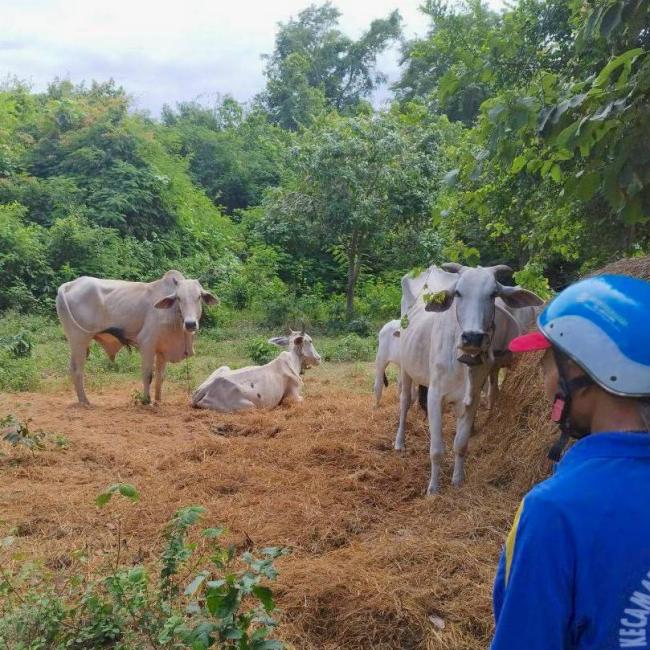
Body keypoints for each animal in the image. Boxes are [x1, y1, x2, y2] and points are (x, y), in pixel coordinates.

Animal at [56, 270, 218, 405]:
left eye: (199, 297)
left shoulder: (162, 351)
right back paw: (84, 401)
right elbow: (148, 375)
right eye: (178, 298)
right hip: (79, 339)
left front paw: (158, 400)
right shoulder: (147, 344)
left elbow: (160, 377)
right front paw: (146, 400)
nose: (190, 324)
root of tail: (69, 285)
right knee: (77, 369)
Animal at [191, 330, 321, 412]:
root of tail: (203, 390)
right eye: (310, 341)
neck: (293, 361)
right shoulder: (294, 396)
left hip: (224, 367)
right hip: (249, 406)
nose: (319, 358)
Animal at [394, 263, 544, 495]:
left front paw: (457, 480)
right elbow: (436, 449)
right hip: (405, 368)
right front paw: (433, 489)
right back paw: (400, 442)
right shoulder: (435, 396)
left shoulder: (472, 398)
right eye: (458, 293)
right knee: (405, 402)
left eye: (493, 294)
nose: (472, 337)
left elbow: (461, 444)